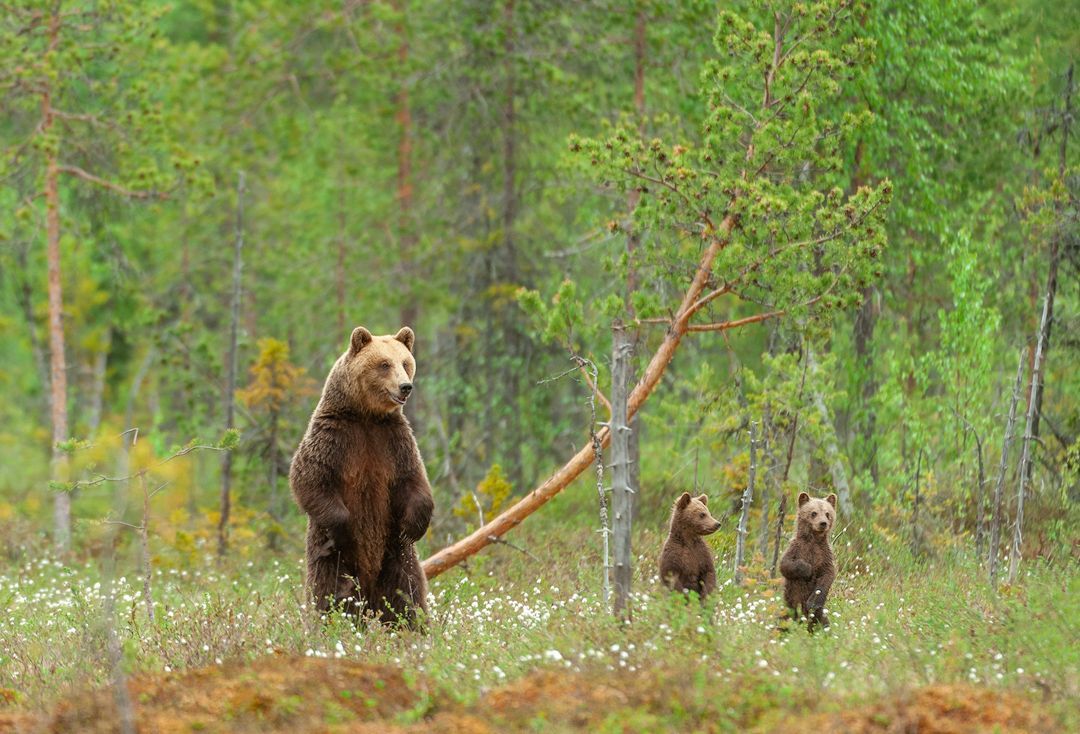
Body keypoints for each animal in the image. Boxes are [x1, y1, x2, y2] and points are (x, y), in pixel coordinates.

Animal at [293, 323, 436, 626]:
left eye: (405, 362)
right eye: (384, 364)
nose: (405, 387)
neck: (367, 416)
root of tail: (370, 595)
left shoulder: (393, 441)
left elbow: (414, 479)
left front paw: (414, 525)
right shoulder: (335, 438)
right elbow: (310, 479)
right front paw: (345, 529)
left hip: (396, 556)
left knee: (407, 597)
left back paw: (415, 630)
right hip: (332, 560)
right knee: (330, 595)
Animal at [781, 490, 838, 626]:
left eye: (827, 514)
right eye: (813, 513)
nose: (823, 523)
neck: (814, 540)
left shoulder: (825, 554)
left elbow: (828, 575)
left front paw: (812, 603)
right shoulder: (797, 548)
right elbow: (786, 565)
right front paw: (808, 570)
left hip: (819, 615)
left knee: (823, 622)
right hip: (788, 607)